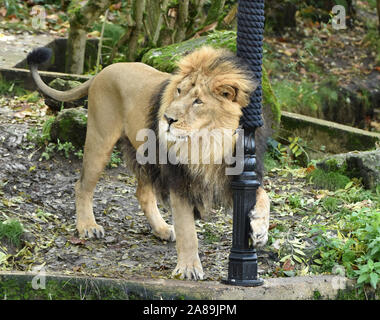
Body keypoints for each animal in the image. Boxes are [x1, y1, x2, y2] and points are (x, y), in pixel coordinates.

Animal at [26, 45, 270, 280]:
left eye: (198, 101)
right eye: (179, 91)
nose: (167, 119)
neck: (208, 142)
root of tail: (103, 71)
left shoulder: (234, 176)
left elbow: (264, 196)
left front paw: (259, 231)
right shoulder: (179, 182)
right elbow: (188, 231)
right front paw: (189, 268)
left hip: (145, 156)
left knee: (142, 194)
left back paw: (161, 229)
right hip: (100, 141)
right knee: (82, 185)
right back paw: (87, 226)